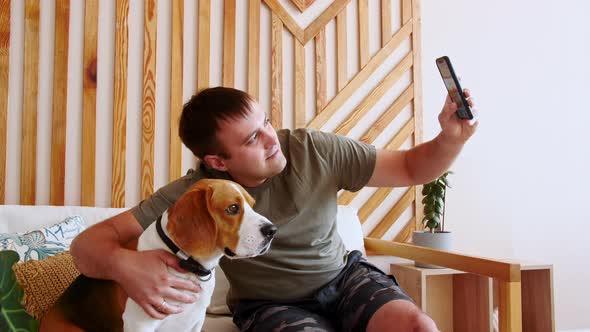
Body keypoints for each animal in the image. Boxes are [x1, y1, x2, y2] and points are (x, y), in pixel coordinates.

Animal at [41, 179, 278, 332]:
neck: (187, 264)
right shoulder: (140, 324)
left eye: (252, 205)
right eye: (232, 208)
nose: (272, 230)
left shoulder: (195, 322)